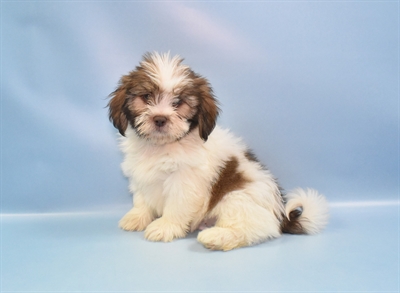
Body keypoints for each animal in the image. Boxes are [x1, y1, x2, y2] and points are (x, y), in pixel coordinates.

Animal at [107, 52, 328, 249]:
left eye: (178, 103)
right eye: (146, 97)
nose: (160, 119)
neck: (162, 147)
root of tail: (280, 213)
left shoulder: (185, 182)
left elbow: (176, 206)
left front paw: (165, 226)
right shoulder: (140, 175)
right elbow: (141, 199)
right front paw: (136, 217)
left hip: (237, 198)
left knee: (255, 227)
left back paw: (216, 237)